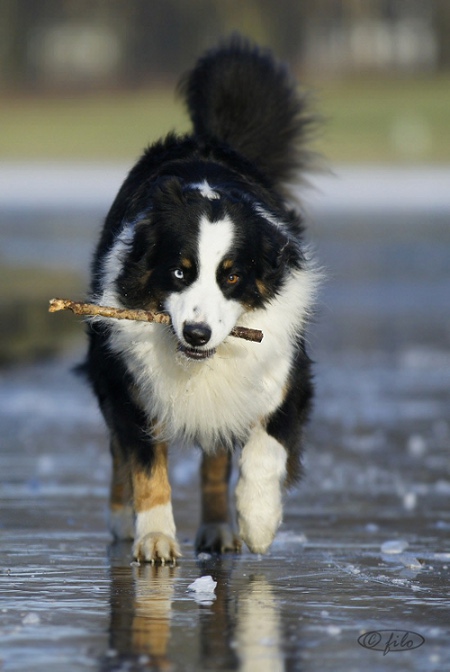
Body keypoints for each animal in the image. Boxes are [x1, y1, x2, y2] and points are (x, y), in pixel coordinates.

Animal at [83, 35, 316, 560]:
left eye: (232, 277)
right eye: (179, 272)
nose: (197, 333)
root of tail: (206, 140)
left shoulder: (284, 372)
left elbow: (265, 447)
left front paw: (258, 522)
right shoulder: (128, 381)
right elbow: (145, 463)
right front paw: (153, 538)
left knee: (215, 457)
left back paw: (219, 529)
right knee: (119, 452)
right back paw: (121, 519)